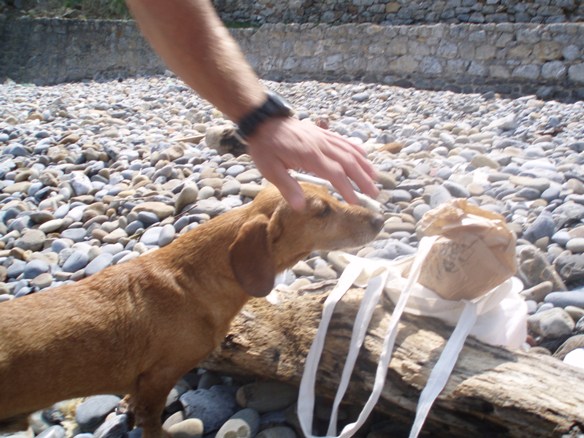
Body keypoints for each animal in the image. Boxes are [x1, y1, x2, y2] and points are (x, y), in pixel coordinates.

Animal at [0, 182, 384, 438]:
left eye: (333, 195)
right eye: (322, 210)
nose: (380, 219)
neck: (190, 281)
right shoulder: (160, 376)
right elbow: (152, 418)